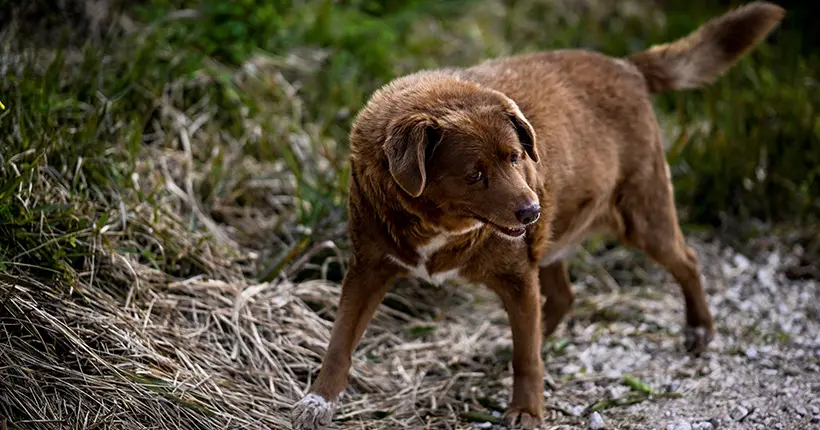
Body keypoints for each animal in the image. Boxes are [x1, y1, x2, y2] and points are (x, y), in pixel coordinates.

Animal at [292, 2, 784, 426]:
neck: (439, 226)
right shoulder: (368, 267)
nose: (531, 210)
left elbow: (526, 356)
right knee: (562, 297)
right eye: (475, 174)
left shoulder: (516, 274)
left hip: (640, 217)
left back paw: (699, 329)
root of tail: (627, 66)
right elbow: (340, 339)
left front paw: (527, 410)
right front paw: (318, 400)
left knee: (686, 260)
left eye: (514, 157)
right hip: (553, 237)